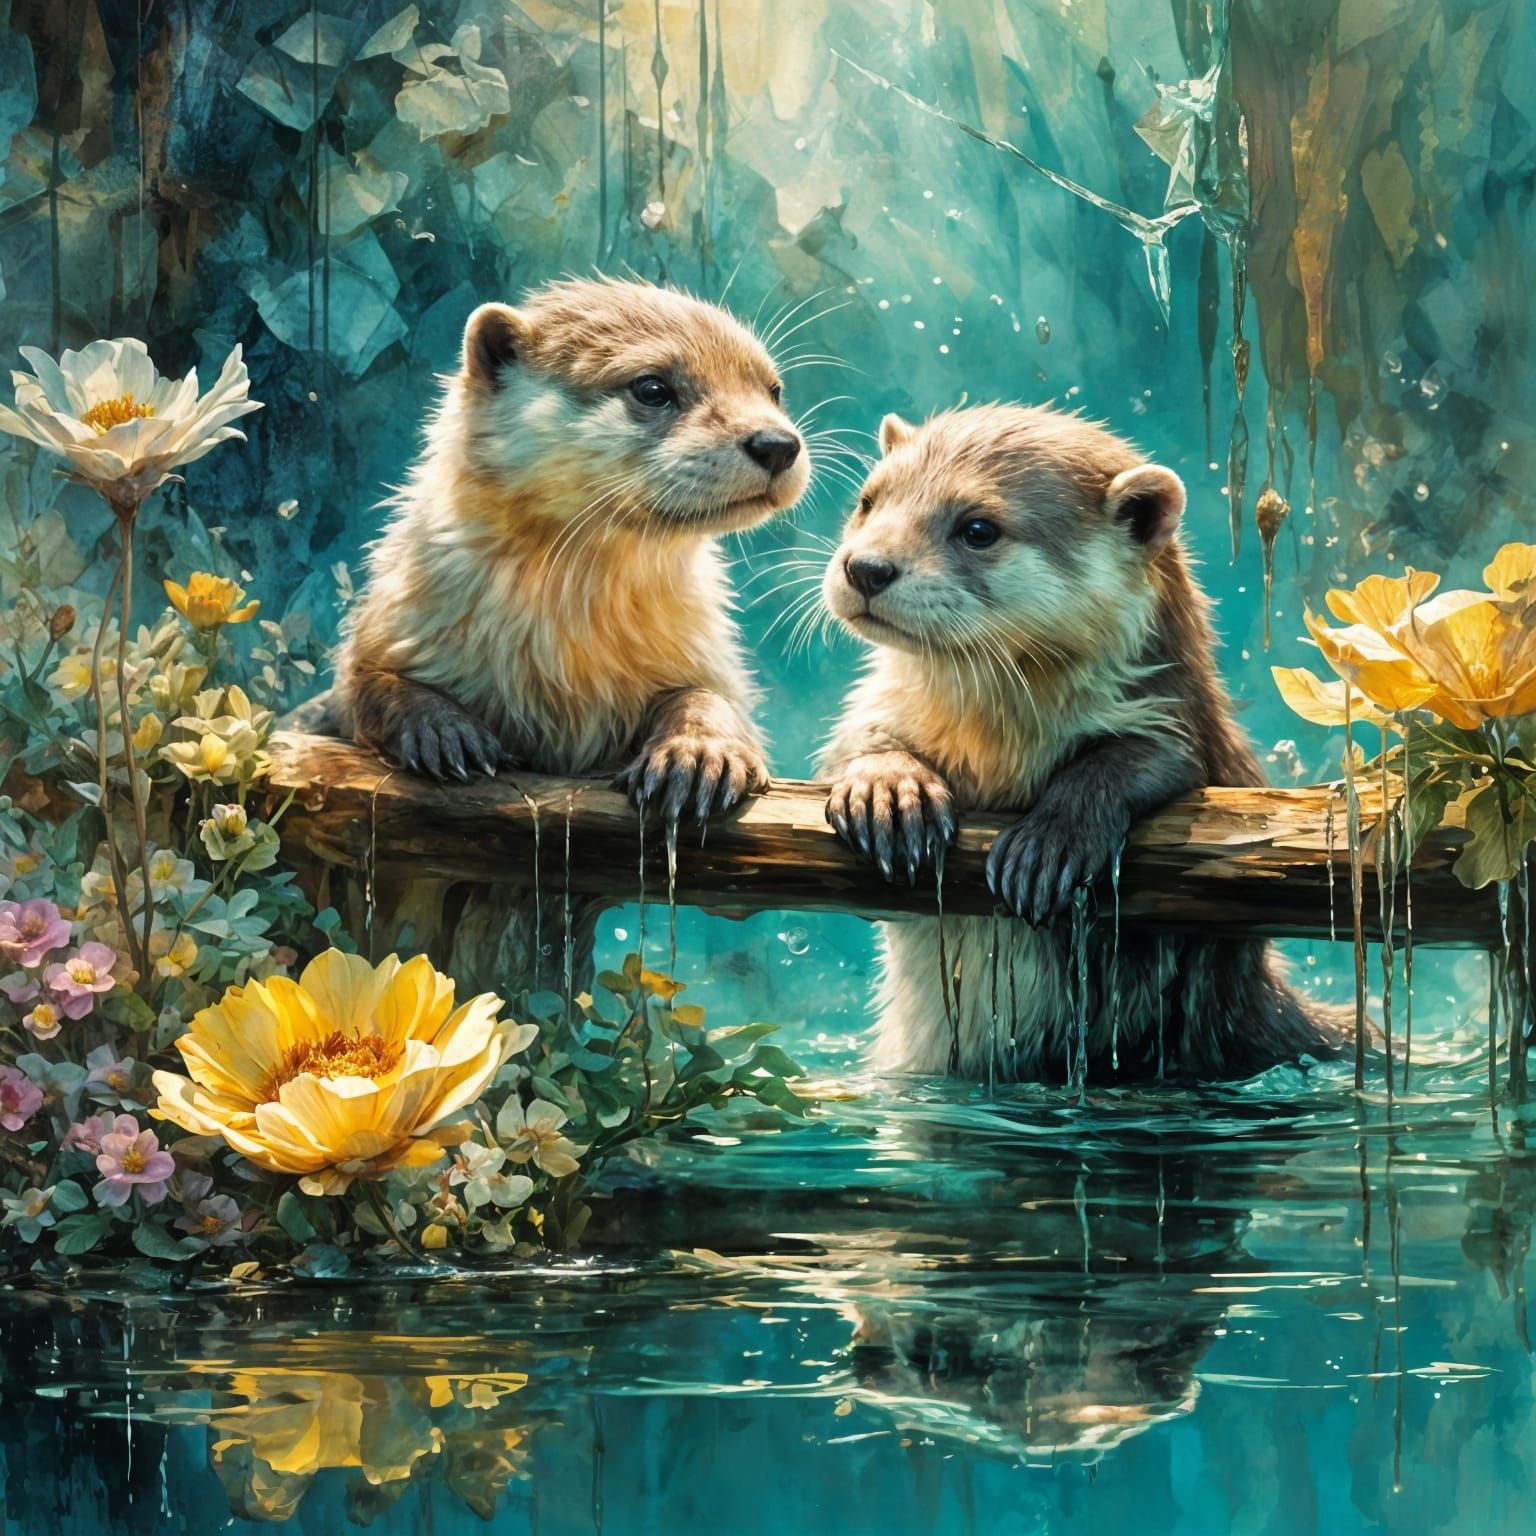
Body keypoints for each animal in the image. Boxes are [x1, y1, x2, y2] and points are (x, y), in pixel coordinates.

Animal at [819, 403, 1343, 1082]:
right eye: (867, 501)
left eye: (978, 528)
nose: (866, 567)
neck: (999, 747)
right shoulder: (878, 706)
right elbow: (853, 744)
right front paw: (887, 788)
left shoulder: (1184, 719)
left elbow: (1153, 759)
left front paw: (1053, 840)